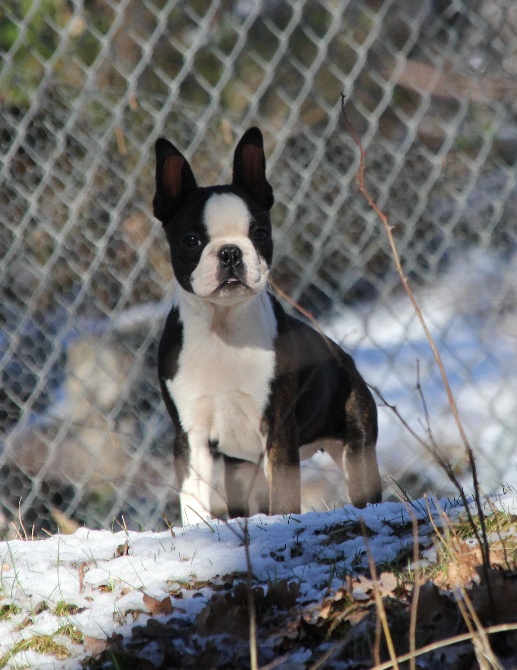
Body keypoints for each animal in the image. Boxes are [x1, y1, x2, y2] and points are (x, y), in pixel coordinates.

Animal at [151, 126, 380, 524]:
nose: (230, 251)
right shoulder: (191, 434)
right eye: (192, 240)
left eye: (258, 233)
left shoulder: (277, 428)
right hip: (240, 469)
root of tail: (345, 359)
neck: (223, 328)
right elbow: (193, 497)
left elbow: (284, 497)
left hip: (357, 445)